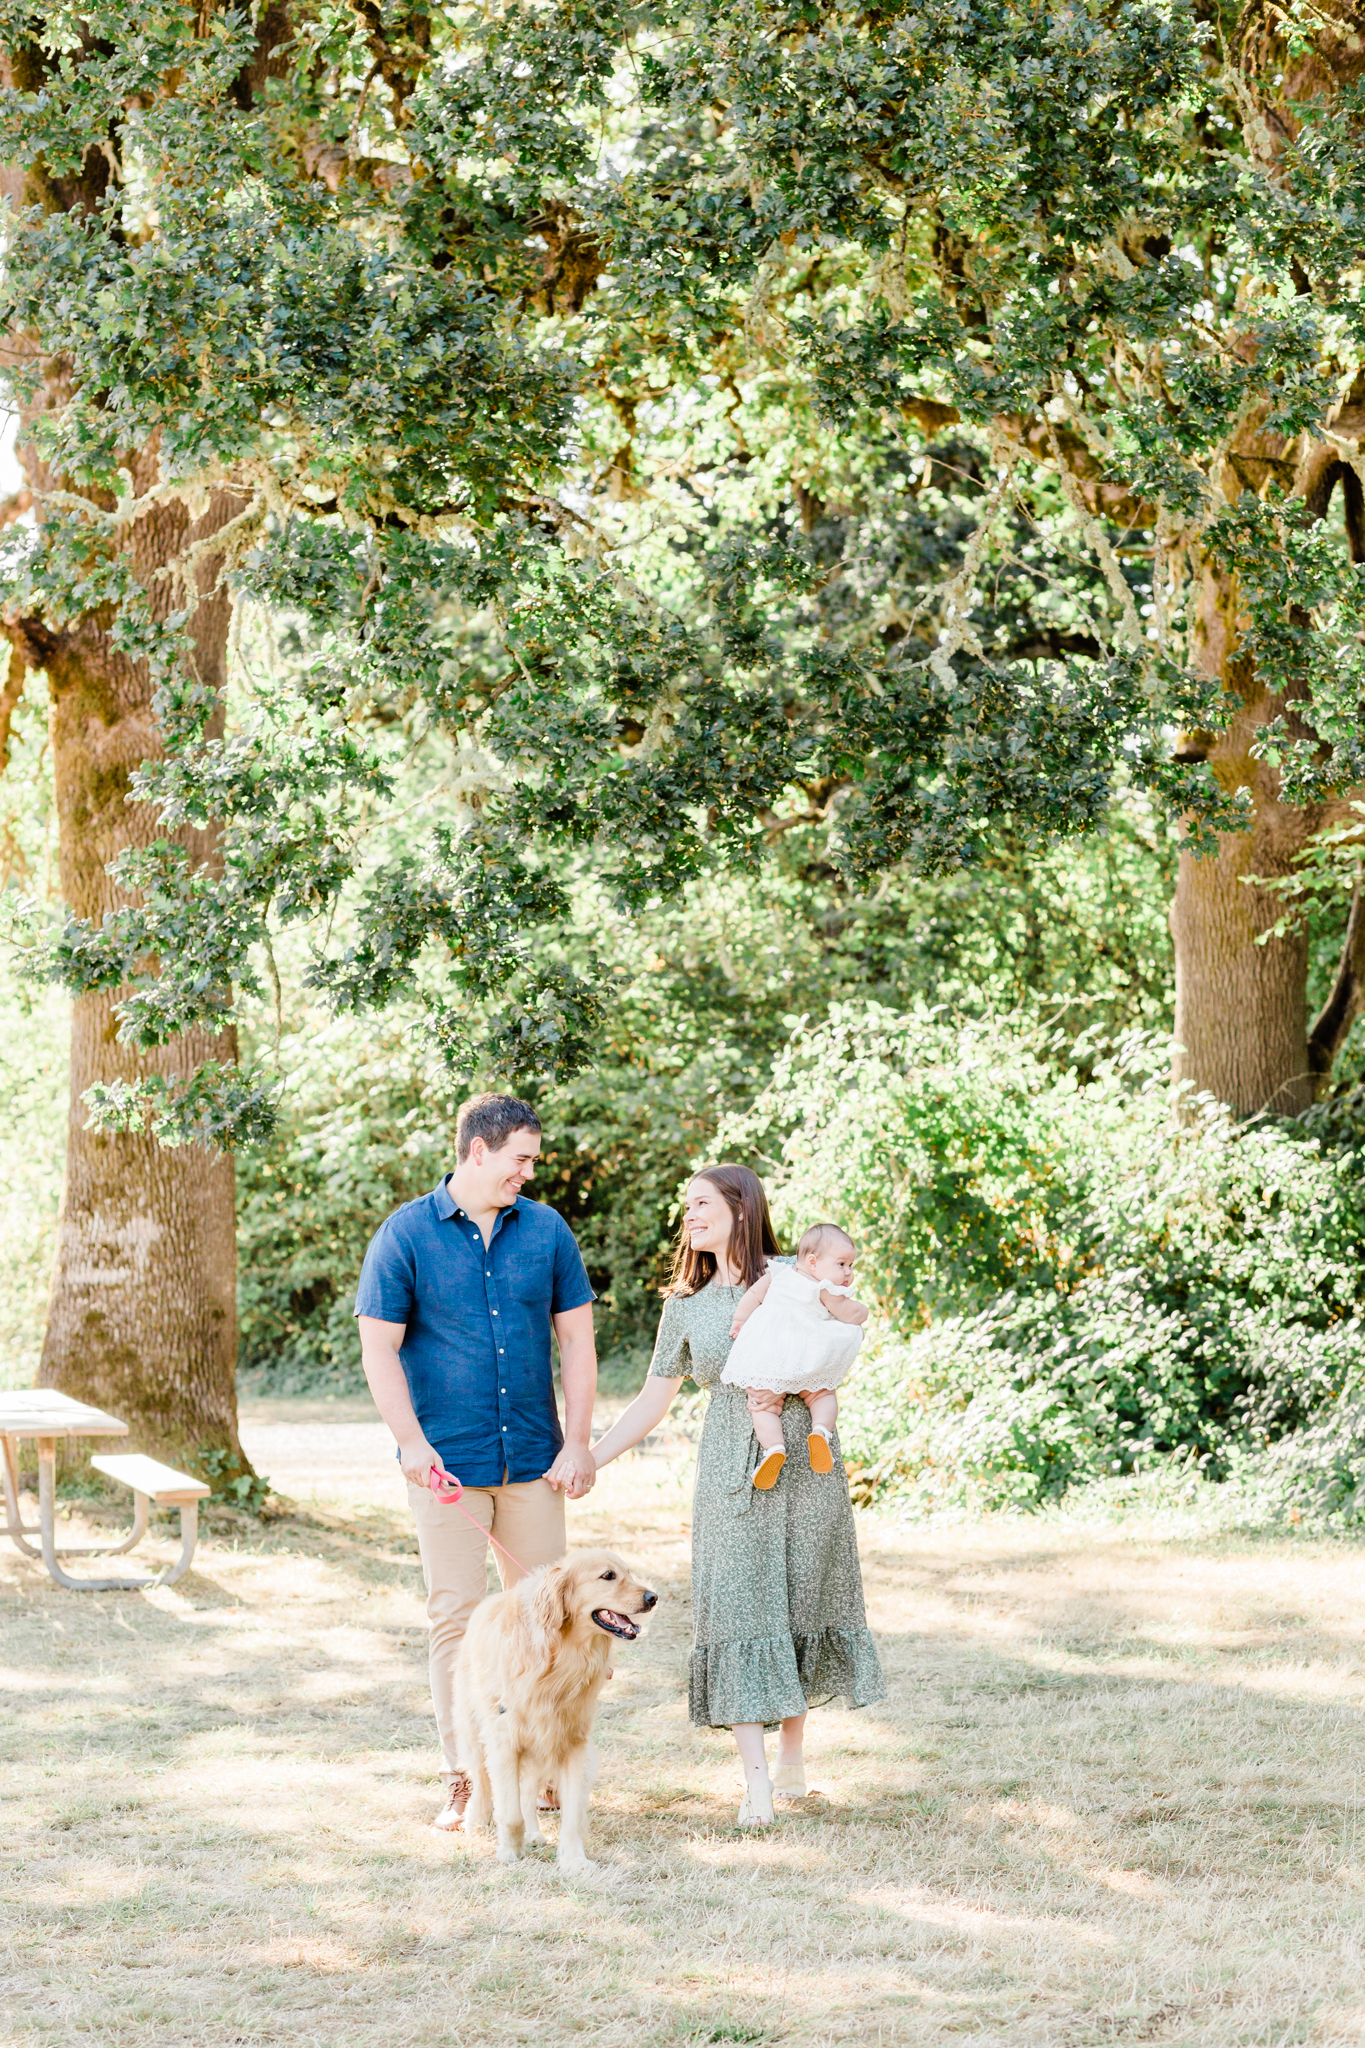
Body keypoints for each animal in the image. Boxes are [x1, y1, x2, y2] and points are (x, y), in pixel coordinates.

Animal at [454, 1548, 654, 1875]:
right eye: (608, 1576)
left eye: (628, 1572)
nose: (653, 1597)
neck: (562, 1657)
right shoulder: (505, 1741)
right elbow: (508, 1810)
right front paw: (509, 1852)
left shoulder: (573, 1743)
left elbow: (571, 1815)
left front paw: (574, 1860)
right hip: (473, 1730)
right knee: (481, 1780)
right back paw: (475, 1821)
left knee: (525, 1792)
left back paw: (533, 1832)